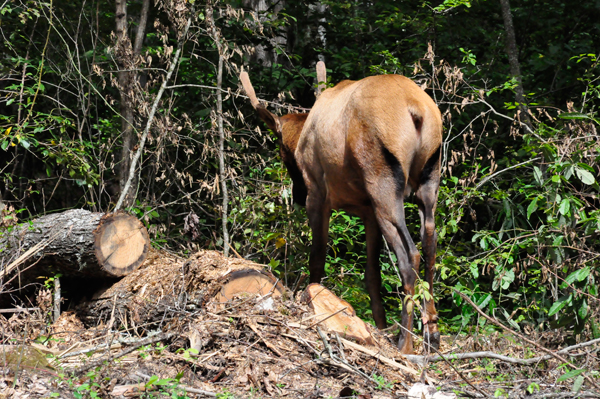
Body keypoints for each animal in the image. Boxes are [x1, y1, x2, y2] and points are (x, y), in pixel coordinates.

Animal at [241, 62, 442, 354]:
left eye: (281, 152)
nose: (297, 194)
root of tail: (417, 111)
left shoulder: (318, 195)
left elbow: (317, 259)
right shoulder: (367, 211)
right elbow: (372, 275)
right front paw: (379, 325)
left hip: (383, 185)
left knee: (410, 255)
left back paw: (405, 341)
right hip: (429, 184)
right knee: (430, 245)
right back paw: (432, 334)